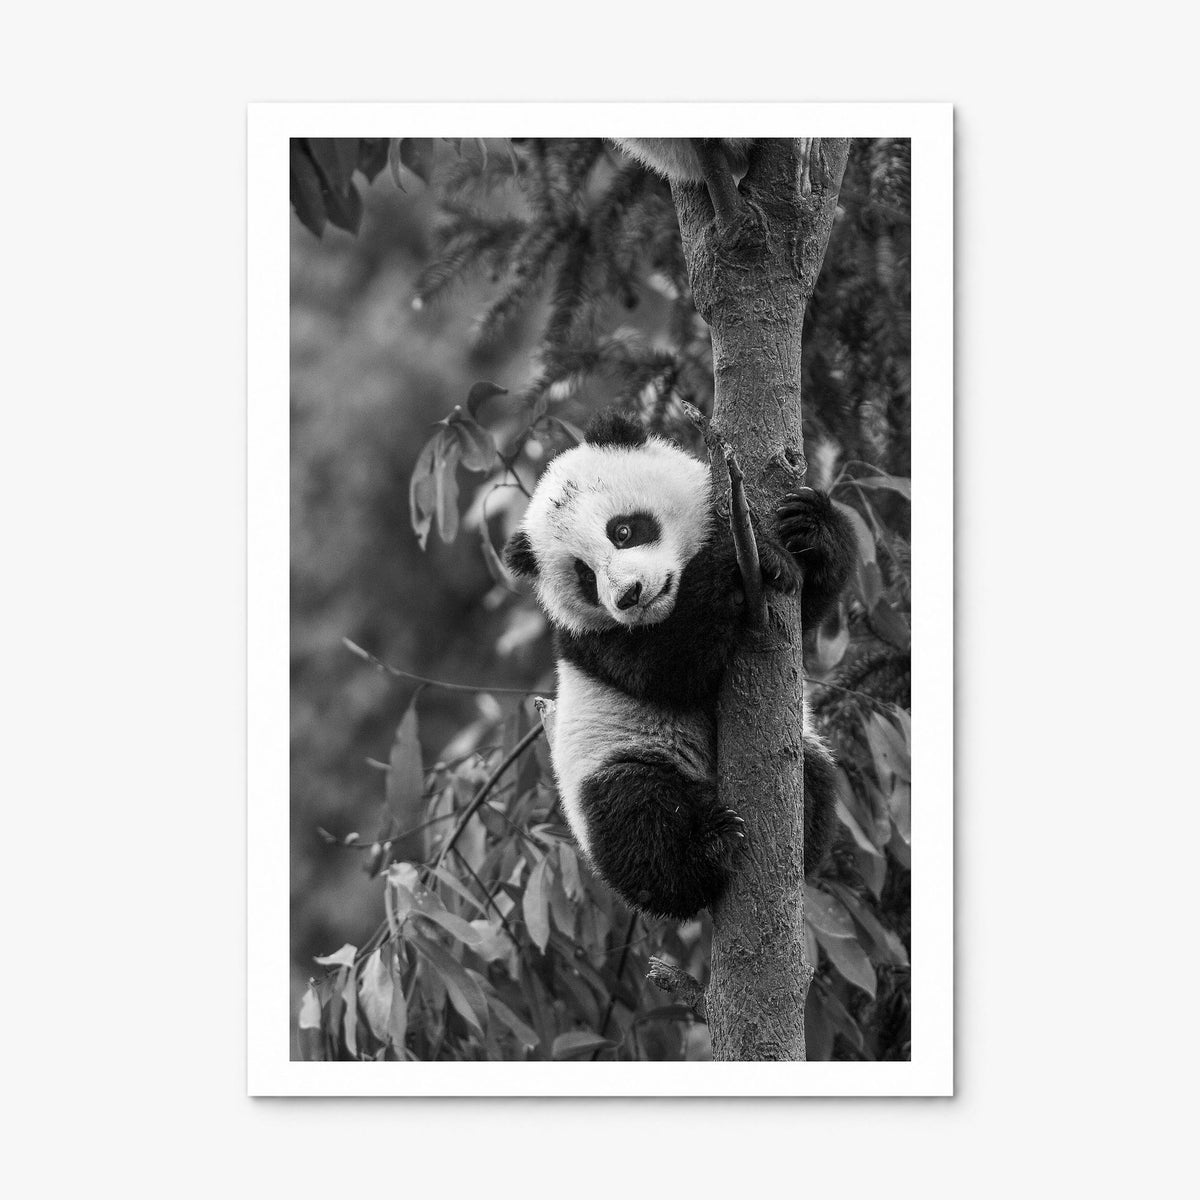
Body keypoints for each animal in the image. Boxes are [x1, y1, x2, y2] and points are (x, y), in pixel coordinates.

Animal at [503, 410, 856, 921]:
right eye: (584, 576)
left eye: (623, 530)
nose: (629, 596)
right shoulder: (593, 641)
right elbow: (669, 666)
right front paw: (737, 564)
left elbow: (807, 607)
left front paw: (808, 527)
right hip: (616, 759)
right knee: (637, 820)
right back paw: (709, 848)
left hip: (804, 747)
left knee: (817, 776)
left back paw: (799, 836)